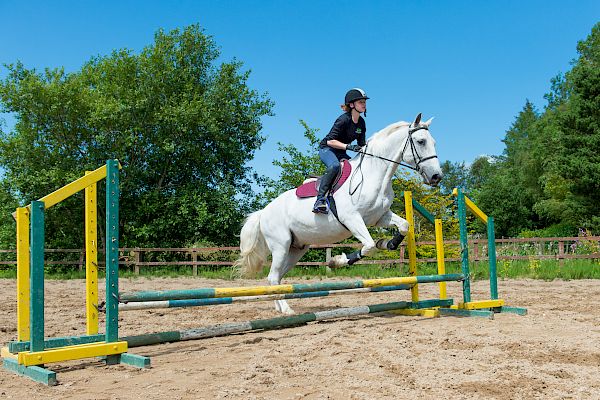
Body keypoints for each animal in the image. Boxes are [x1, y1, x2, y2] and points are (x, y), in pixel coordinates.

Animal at [237, 111, 442, 312]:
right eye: (421, 141)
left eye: (434, 142)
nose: (436, 177)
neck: (374, 175)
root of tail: (263, 212)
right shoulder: (351, 218)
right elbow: (369, 246)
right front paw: (337, 261)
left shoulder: (380, 217)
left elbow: (404, 226)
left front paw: (387, 243)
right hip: (281, 245)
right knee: (273, 277)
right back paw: (287, 311)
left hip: (296, 249)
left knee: (277, 277)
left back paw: (280, 309)